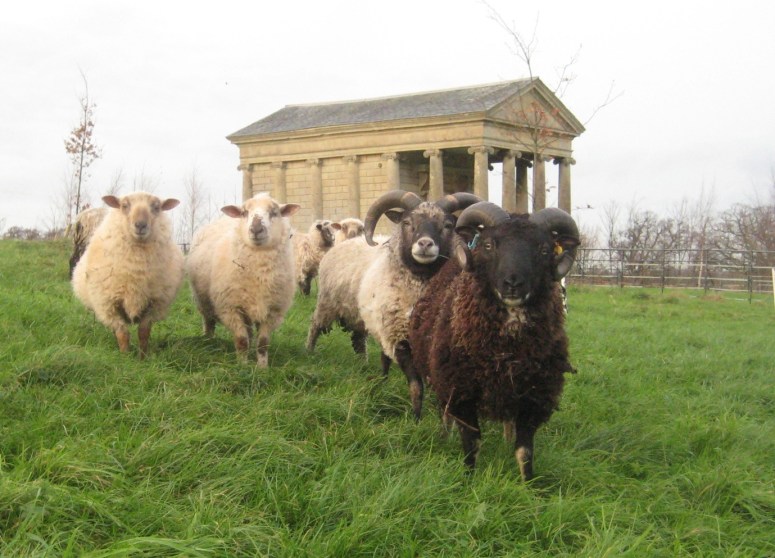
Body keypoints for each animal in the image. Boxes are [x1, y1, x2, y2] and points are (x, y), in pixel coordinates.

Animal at [71, 192, 184, 358]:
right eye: (124, 205)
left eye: (156, 207)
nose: (141, 225)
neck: (136, 270)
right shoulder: (109, 305)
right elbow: (122, 334)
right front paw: (124, 357)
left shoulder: (154, 304)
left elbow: (143, 333)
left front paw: (143, 357)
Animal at [186, 193, 300, 366]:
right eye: (245, 212)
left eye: (274, 212)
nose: (256, 229)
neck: (260, 274)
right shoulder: (231, 307)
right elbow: (241, 340)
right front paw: (242, 366)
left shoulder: (273, 311)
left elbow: (263, 343)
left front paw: (262, 367)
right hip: (203, 301)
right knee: (209, 322)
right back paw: (208, 341)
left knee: (250, 332)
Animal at [354, 189, 481, 419]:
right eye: (407, 222)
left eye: (448, 225)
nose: (425, 244)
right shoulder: (401, 341)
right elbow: (415, 386)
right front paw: (416, 419)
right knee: (385, 358)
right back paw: (383, 382)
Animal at [408, 202, 581, 481]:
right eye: (489, 245)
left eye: (544, 249)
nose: (513, 283)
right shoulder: (461, 392)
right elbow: (472, 444)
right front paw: (468, 480)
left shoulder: (534, 399)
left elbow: (524, 452)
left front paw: (528, 485)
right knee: (445, 413)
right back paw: (444, 437)